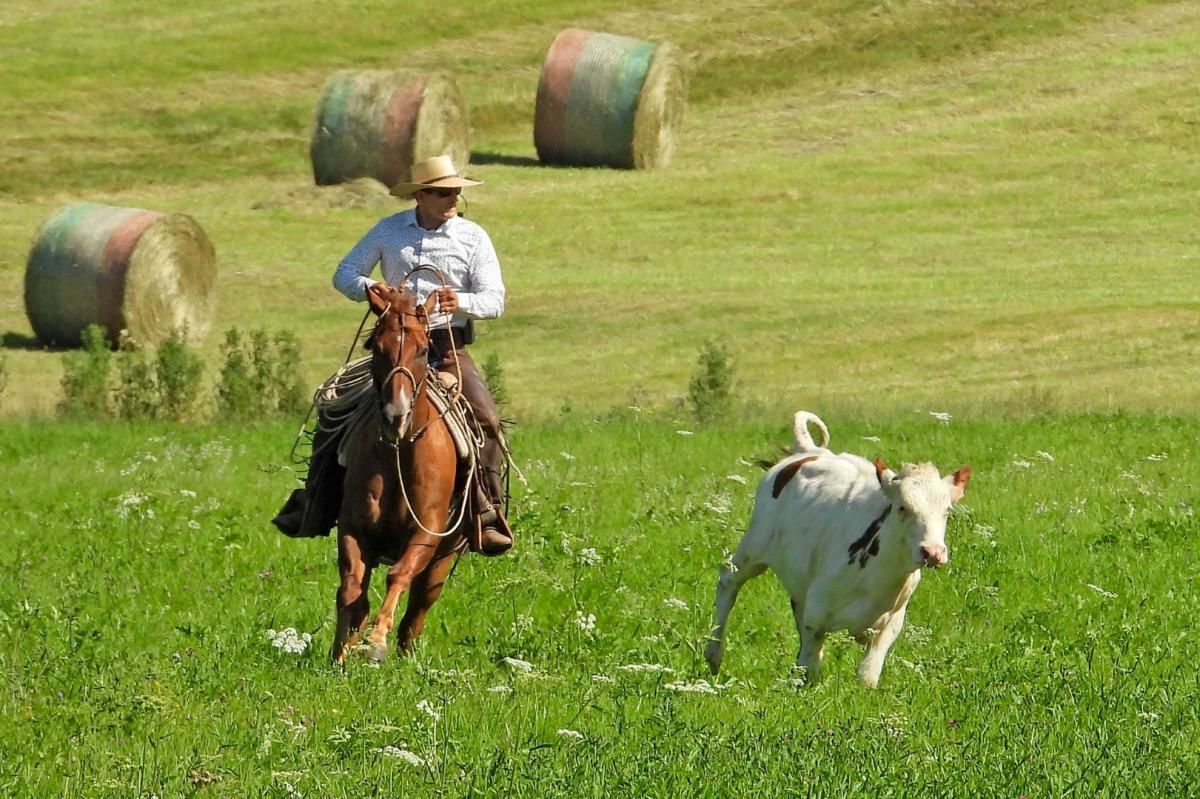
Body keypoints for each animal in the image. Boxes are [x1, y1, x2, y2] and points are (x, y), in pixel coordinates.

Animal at [331, 279, 465, 657]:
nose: (396, 416)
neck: (400, 455)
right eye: (377, 348)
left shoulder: (426, 533)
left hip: (443, 558)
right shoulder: (353, 528)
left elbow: (399, 575)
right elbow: (351, 592)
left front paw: (377, 641)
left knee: (418, 607)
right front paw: (340, 654)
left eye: (422, 350)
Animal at [700, 410, 974, 686]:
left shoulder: (889, 626)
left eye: (947, 510)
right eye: (902, 507)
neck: (878, 578)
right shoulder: (816, 618)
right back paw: (714, 654)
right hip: (755, 544)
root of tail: (810, 452)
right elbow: (809, 669)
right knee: (728, 580)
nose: (933, 552)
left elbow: (867, 677)